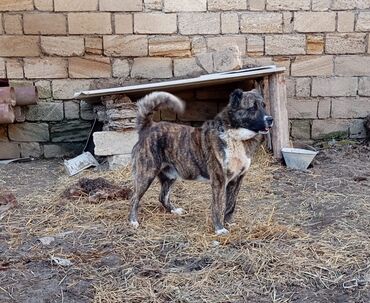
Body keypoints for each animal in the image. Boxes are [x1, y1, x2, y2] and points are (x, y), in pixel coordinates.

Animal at [129, 88, 274, 235]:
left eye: (264, 105)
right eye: (252, 108)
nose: (270, 119)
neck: (235, 136)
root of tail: (148, 127)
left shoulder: (237, 180)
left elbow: (230, 205)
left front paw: (229, 223)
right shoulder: (219, 181)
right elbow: (217, 207)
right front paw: (219, 229)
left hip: (170, 176)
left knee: (162, 197)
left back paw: (174, 210)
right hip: (146, 174)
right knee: (134, 198)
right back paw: (133, 221)